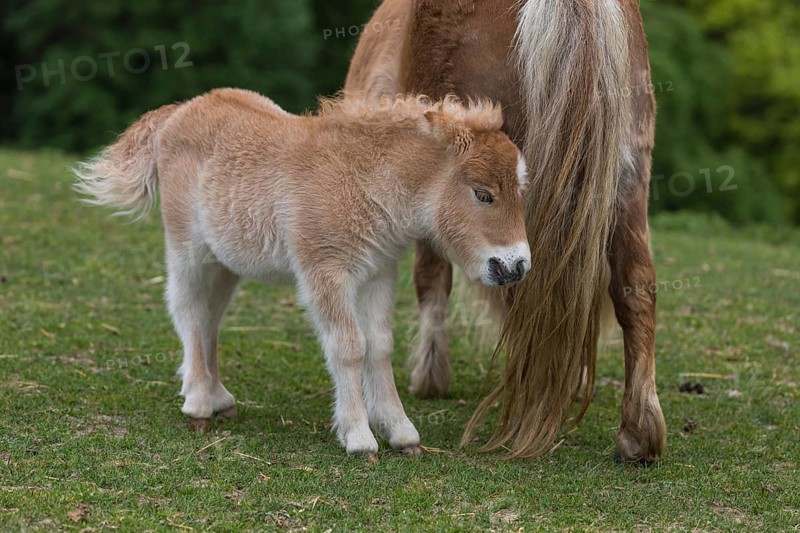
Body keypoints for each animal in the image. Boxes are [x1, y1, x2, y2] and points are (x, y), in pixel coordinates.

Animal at [73, 88, 531, 457]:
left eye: (520, 190)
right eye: (482, 194)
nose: (515, 265)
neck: (363, 180)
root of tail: (179, 111)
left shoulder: (379, 272)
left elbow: (380, 345)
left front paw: (401, 433)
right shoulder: (324, 270)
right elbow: (349, 346)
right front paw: (359, 437)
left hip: (226, 261)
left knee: (210, 318)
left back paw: (219, 398)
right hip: (189, 248)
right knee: (187, 308)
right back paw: (199, 404)